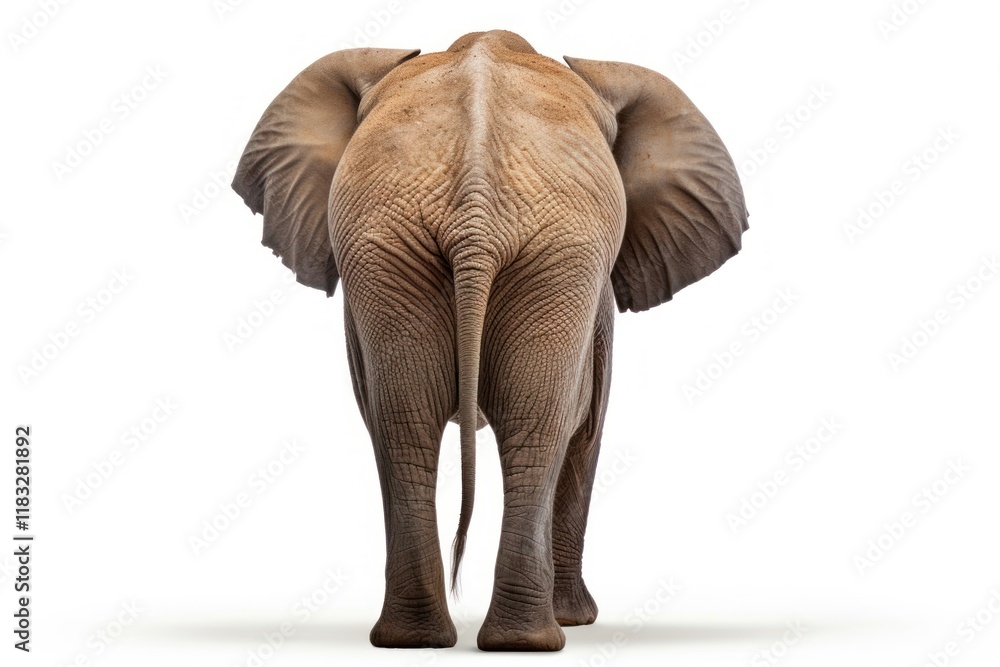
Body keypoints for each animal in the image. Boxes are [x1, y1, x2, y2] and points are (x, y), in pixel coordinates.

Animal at [232, 29, 747, 651]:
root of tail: (474, 215)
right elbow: (588, 424)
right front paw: (580, 620)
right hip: (489, 250)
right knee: (520, 426)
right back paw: (515, 638)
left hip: (431, 249)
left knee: (422, 422)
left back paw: (451, 640)